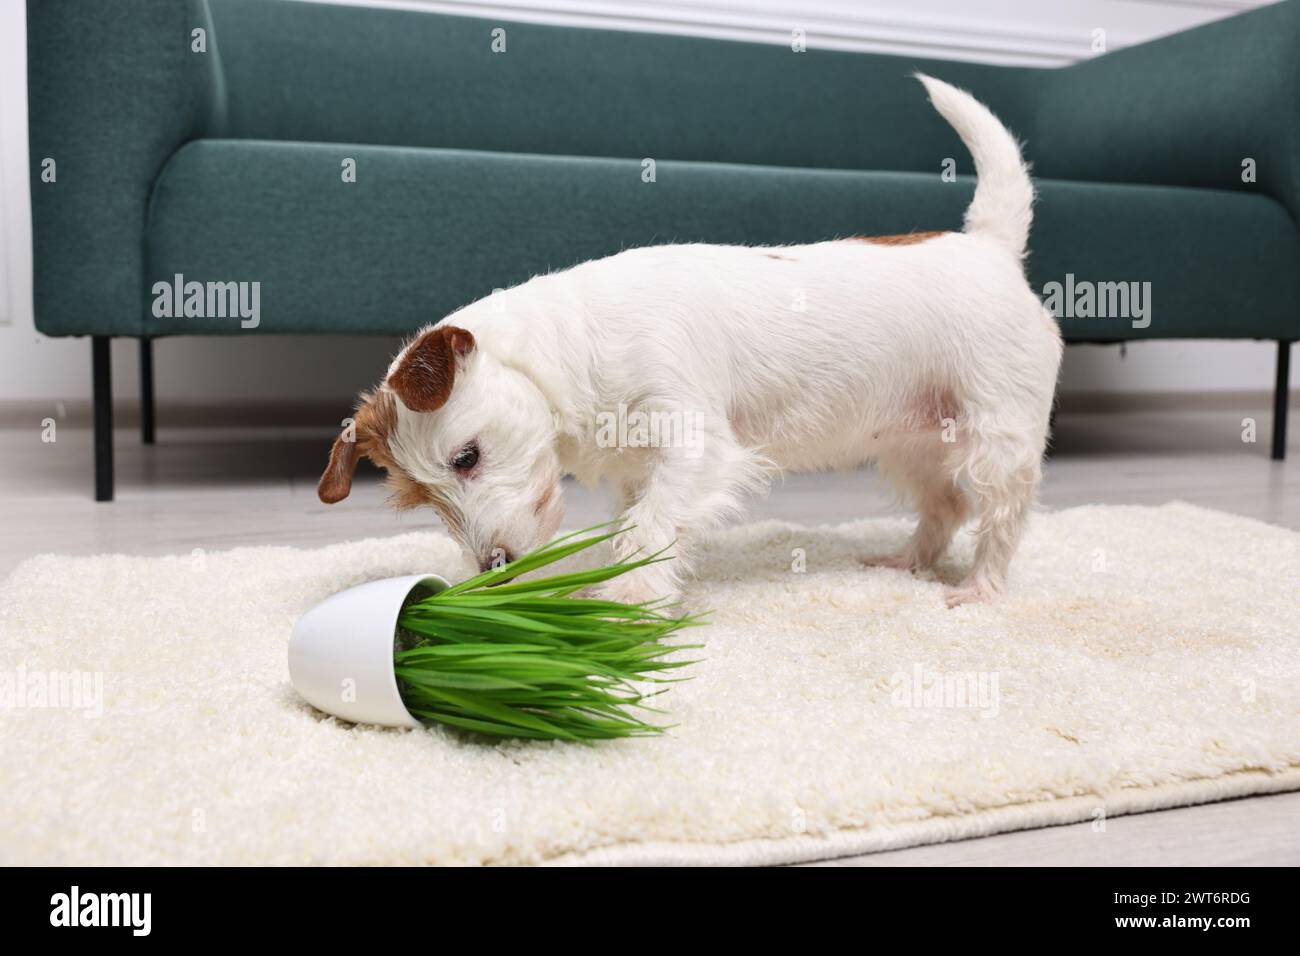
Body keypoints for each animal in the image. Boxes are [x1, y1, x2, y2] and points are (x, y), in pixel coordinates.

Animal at [319, 78, 1060, 608]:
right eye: (422, 499)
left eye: (467, 458)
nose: (492, 569)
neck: (573, 347)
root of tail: (989, 246)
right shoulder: (635, 470)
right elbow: (633, 524)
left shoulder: (694, 446)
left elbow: (651, 529)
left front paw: (623, 604)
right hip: (913, 444)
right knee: (946, 505)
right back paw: (908, 562)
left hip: (998, 438)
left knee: (1000, 515)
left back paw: (980, 588)